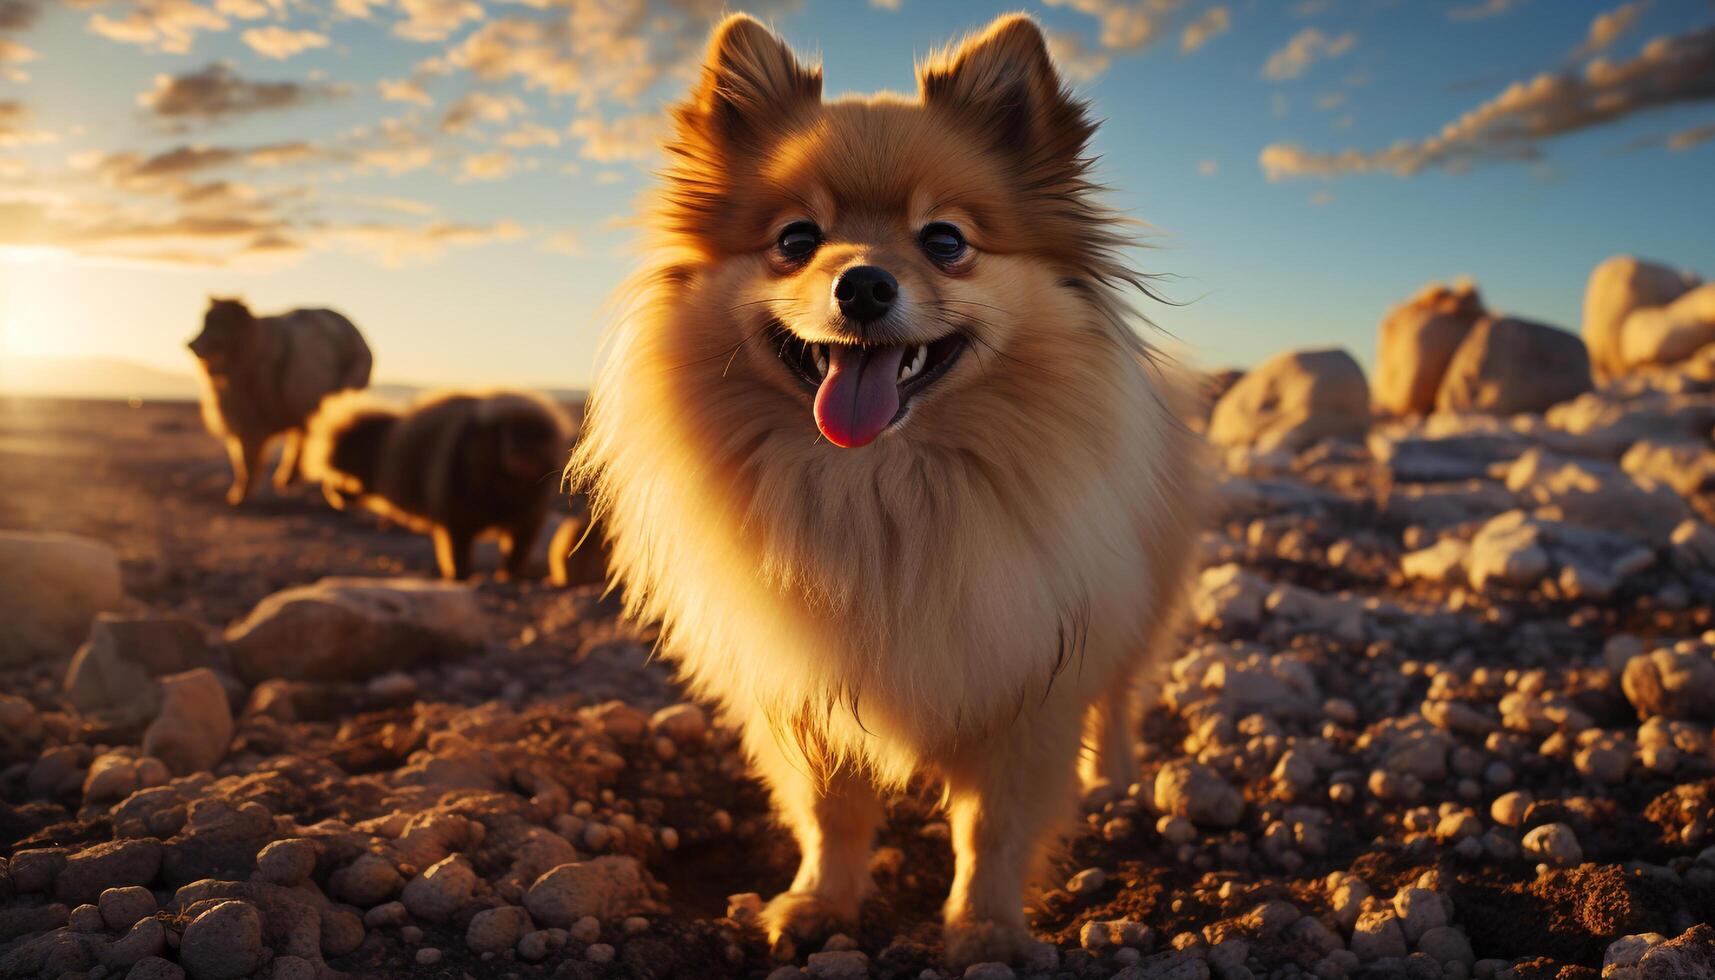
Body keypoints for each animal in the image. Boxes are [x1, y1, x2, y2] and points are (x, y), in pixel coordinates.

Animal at [186, 298, 372, 504]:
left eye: (215, 322)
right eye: (205, 321)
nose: (190, 344)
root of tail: (358, 337)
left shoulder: (249, 418)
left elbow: (246, 461)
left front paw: (240, 494)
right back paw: (291, 479)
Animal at [572, 13, 1207, 967]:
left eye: (944, 240)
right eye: (795, 240)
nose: (863, 283)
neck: (875, 486)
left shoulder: (1030, 684)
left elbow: (993, 828)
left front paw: (983, 928)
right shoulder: (806, 687)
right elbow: (828, 811)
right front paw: (819, 903)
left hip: (1133, 615)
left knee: (1121, 697)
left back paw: (1116, 782)